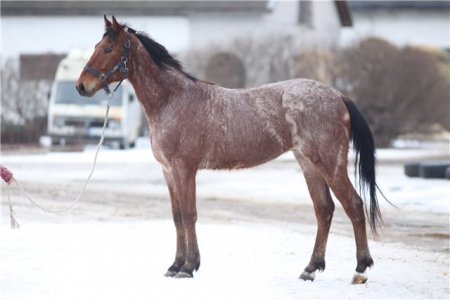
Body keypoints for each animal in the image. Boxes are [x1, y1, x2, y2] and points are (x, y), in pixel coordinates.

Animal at [77, 15, 384, 284]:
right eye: (96, 47)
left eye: (107, 48)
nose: (81, 86)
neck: (172, 100)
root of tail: (338, 95)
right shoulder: (168, 172)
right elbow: (177, 217)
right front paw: (175, 265)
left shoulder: (184, 169)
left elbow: (189, 215)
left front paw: (188, 267)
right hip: (309, 164)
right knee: (324, 209)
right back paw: (310, 269)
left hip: (331, 165)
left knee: (354, 205)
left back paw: (360, 268)